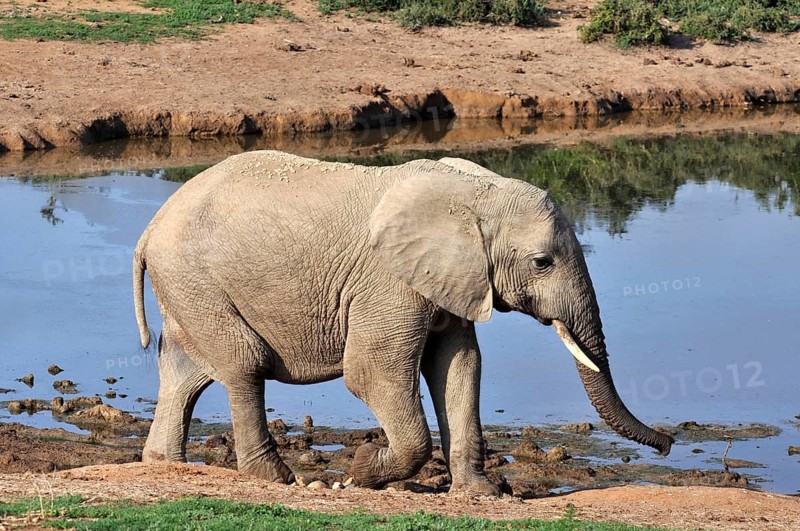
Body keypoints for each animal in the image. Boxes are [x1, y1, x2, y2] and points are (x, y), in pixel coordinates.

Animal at [133, 150, 673, 495]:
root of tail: (148, 229)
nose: (668, 444)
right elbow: (374, 373)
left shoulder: (453, 280)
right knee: (245, 366)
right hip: (195, 278)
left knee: (186, 372)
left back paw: (164, 465)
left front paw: (481, 494)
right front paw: (361, 470)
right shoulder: (388, 282)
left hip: (188, 288)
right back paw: (280, 480)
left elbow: (459, 368)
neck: (477, 194)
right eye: (541, 263)